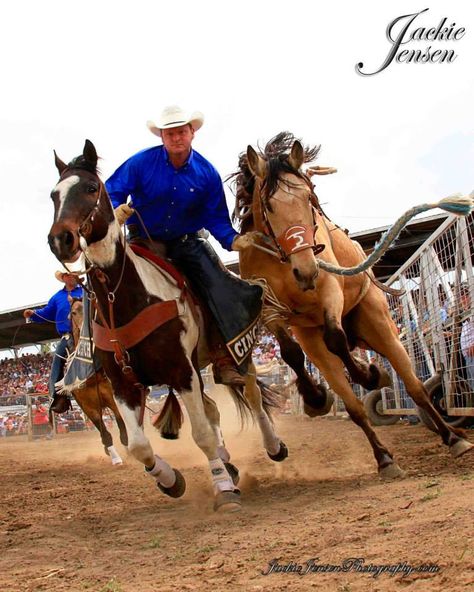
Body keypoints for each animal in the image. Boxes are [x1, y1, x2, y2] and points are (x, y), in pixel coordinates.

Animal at [47, 140, 286, 512]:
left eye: (90, 188)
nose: (62, 240)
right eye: (53, 196)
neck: (125, 297)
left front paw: (223, 490)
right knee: (213, 410)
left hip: (236, 355)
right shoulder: (124, 385)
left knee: (252, 395)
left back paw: (272, 447)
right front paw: (171, 480)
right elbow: (137, 445)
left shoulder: (181, 372)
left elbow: (201, 434)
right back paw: (227, 462)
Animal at [232, 132, 474, 474]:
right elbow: (291, 352)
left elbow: (337, 338)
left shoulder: (329, 289)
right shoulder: (269, 309)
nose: (305, 270)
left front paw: (367, 374)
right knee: (355, 405)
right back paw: (383, 456)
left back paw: (452, 436)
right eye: (268, 205)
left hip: (379, 324)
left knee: (415, 387)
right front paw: (316, 396)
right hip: (315, 342)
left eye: (309, 198)